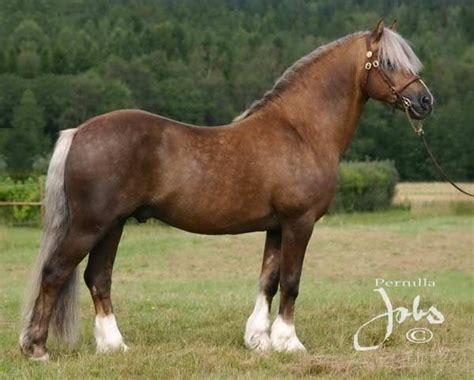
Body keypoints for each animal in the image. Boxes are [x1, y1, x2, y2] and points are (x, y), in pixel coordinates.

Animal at [19, 20, 434, 360]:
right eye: (389, 63)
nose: (425, 101)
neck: (300, 131)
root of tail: (79, 132)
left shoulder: (276, 227)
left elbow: (268, 280)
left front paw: (259, 341)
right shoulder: (299, 223)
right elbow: (291, 281)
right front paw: (289, 343)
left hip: (113, 225)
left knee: (97, 278)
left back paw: (113, 345)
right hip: (91, 225)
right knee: (55, 272)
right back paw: (37, 348)